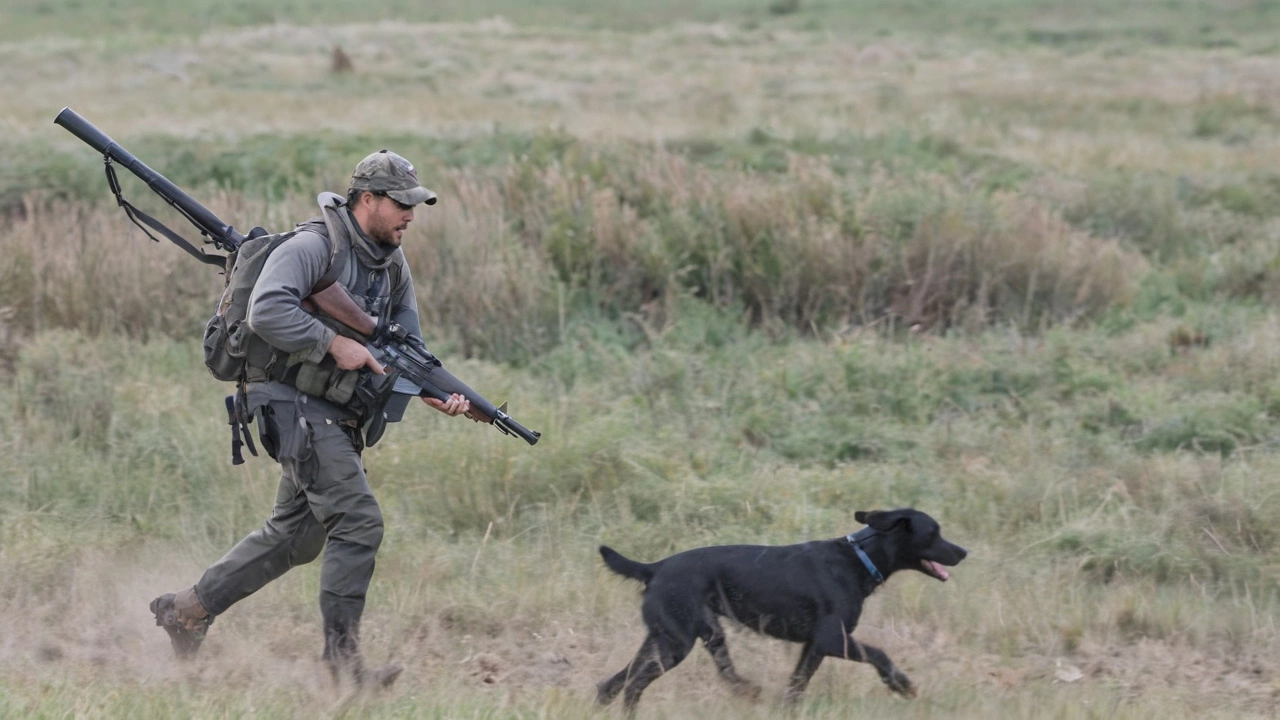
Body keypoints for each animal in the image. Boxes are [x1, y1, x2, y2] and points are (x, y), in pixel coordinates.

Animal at [593, 507, 962, 707]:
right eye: (934, 532)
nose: (964, 551)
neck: (859, 558)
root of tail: (653, 568)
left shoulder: (814, 647)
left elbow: (796, 686)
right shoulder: (833, 639)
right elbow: (880, 654)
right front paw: (902, 684)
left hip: (672, 638)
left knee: (611, 686)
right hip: (677, 644)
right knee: (632, 686)